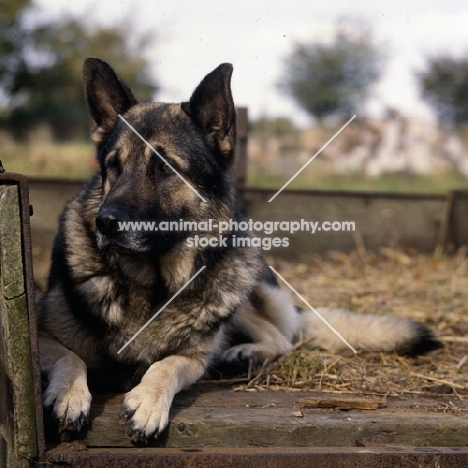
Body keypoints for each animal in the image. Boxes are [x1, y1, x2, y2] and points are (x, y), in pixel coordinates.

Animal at [37, 56, 442, 444]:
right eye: (112, 166)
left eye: (165, 168)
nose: (105, 223)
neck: (152, 283)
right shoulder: (42, 333)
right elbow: (71, 358)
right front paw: (70, 396)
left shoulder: (194, 357)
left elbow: (164, 366)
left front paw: (148, 403)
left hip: (240, 290)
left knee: (282, 338)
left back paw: (244, 352)